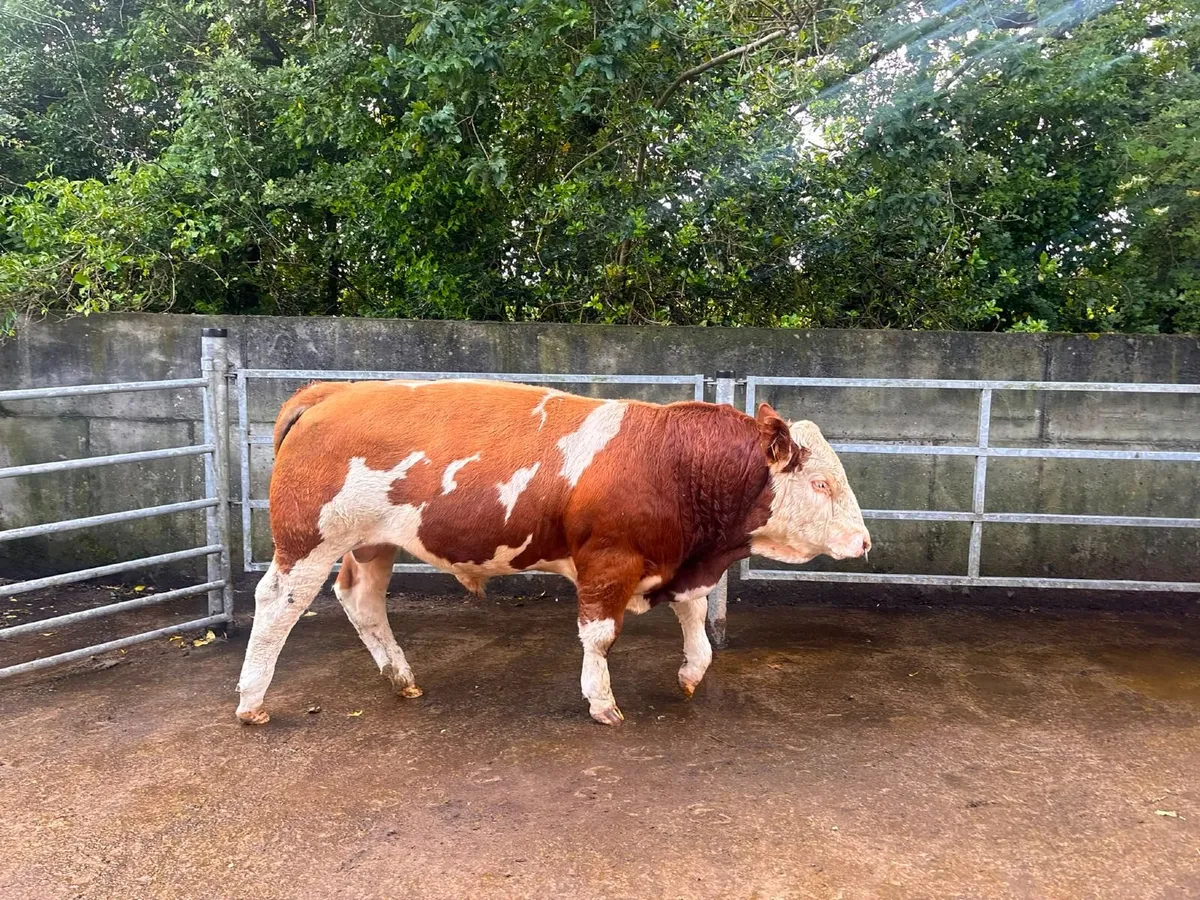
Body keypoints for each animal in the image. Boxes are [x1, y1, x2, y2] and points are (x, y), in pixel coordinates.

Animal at [236, 379, 870, 726]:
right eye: (821, 484)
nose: (864, 541)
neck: (671, 459)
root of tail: (335, 392)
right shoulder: (608, 562)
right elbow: (600, 636)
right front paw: (602, 702)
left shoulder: (681, 560)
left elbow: (694, 617)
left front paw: (692, 672)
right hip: (307, 541)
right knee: (277, 605)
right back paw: (251, 700)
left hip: (373, 545)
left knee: (361, 602)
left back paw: (401, 677)